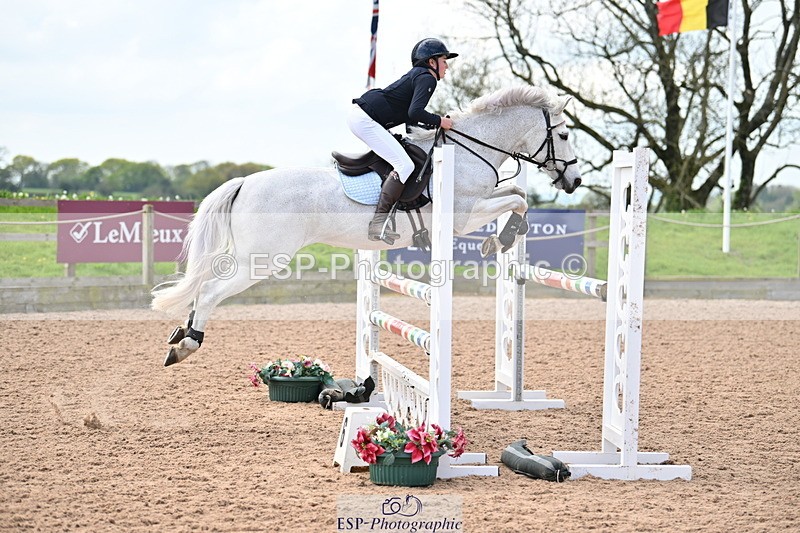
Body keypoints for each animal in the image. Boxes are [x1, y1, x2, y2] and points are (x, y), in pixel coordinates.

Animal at [152, 86, 582, 366]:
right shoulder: (464, 216)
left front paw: (502, 239)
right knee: (209, 291)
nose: (574, 182)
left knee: (203, 289)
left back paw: (179, 336)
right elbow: (518, 200)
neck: (469, 152)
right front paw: (501, 240)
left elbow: (517, 193)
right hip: (261, 260)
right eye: (563, 134)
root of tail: (245, 182)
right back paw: (186, 345)